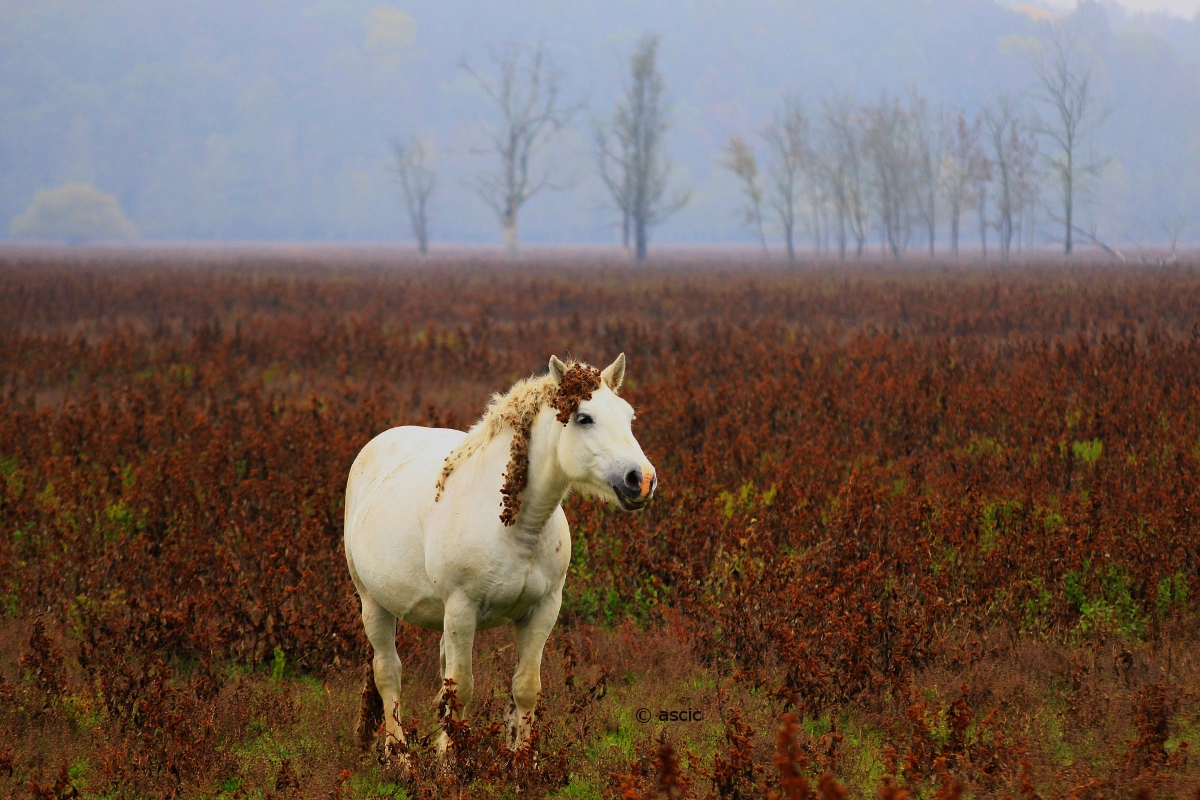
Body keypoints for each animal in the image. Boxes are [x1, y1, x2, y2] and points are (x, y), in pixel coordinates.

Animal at [343, 352, 662, 762]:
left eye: (629, 416)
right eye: (584, 417)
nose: (641, 480)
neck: (517, 529)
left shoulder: (543, 610)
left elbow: (524, 687)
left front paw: (521, 761)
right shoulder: (462, 609)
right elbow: (461, 689)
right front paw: (452, 764)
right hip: (373, 603)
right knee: (389, 673)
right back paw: (399, 756)